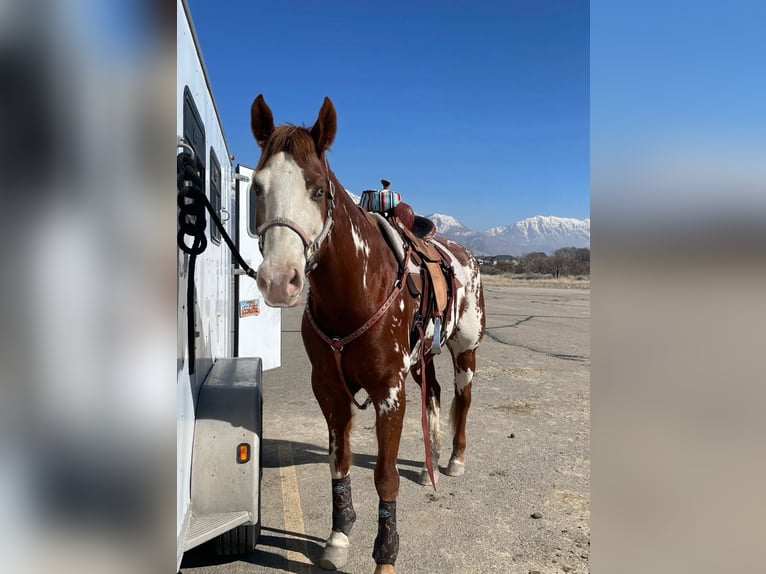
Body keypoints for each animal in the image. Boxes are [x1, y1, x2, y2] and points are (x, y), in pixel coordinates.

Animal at [250, 94, 485, 574]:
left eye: (318, 189)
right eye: (257, 187)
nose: (279, 280)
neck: (357, 289)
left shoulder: (389, 391)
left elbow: (385, 476)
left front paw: (385, 555)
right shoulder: (329, 390)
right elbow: (339, 463)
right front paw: (339, 536)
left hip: (465, 349)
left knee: (462, 398)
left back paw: (453, 458)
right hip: (423, 358)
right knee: (434, 393)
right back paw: (431, 454)